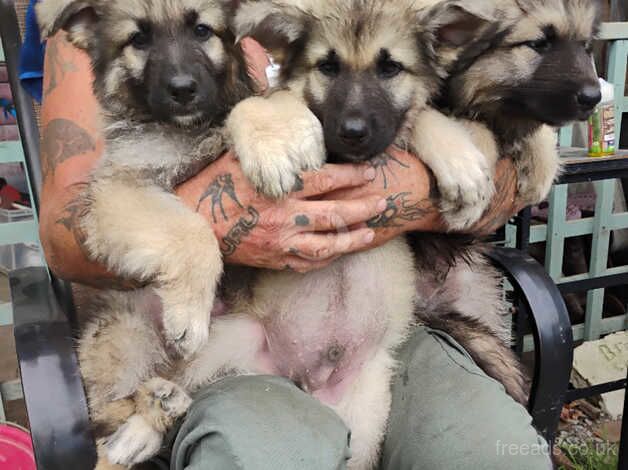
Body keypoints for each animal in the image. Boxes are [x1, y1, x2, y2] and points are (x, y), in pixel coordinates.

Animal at [35, 1, 253, 468]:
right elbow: (191, 231)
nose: (183, 90)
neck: (187, 128)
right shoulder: (120, 190)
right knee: (106, 423)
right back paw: (149, 413)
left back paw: (160, 408)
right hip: (125, 330)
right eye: (138, 39)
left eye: (203, 30)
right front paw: (189, 313)